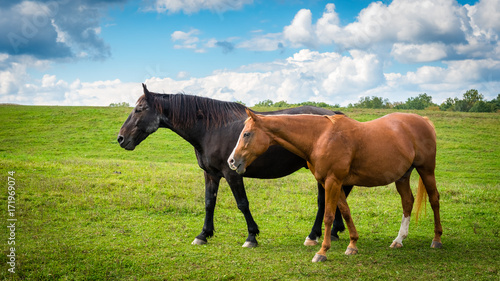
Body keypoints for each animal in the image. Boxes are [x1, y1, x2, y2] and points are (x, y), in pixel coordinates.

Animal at [117, 84, 352, 246]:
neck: (212, 128)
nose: (120, 138)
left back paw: (315, 235)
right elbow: (209, 203)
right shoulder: (210, 174)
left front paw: (251, 236)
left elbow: (242, 204)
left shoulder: (233, 174)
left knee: (325, 201)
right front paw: (203, 234)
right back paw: (333, 231)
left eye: (139, 109)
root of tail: (334, 115)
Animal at [229, 108, 444, 262]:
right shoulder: (332, 183)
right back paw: (398, 240)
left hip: (426, 170)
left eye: (246, 134)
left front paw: (322, 251)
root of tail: (423, 121)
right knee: (407, 202)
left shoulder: (333, 181)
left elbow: (329, 216)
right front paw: (352, 245)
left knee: (434, 200)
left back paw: (437, 240)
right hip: (402, 177)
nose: (232, 161)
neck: (320, 137)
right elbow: (346, 212)